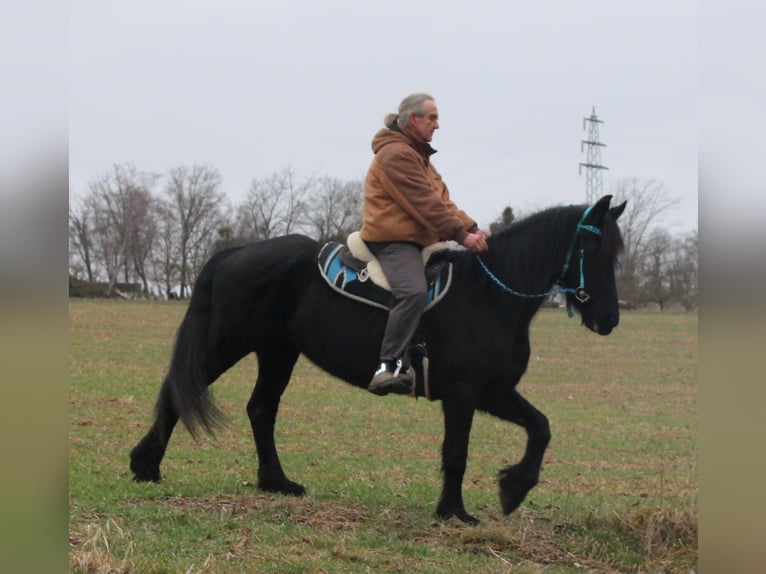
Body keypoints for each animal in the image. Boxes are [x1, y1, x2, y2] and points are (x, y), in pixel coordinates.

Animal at [130, 195, 624, 528]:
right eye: (597, 251)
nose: (609, 319)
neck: (489, 298)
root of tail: (236, 253)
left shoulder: (494, 391)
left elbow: (541, 427)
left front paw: (512, 489)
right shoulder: (464, 393)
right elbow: (457, 452)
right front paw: (454, 511)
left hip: (277, 351)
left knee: (261, 410)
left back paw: (276, 482)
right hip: (228, 343)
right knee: (181, 391)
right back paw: (145, 465)